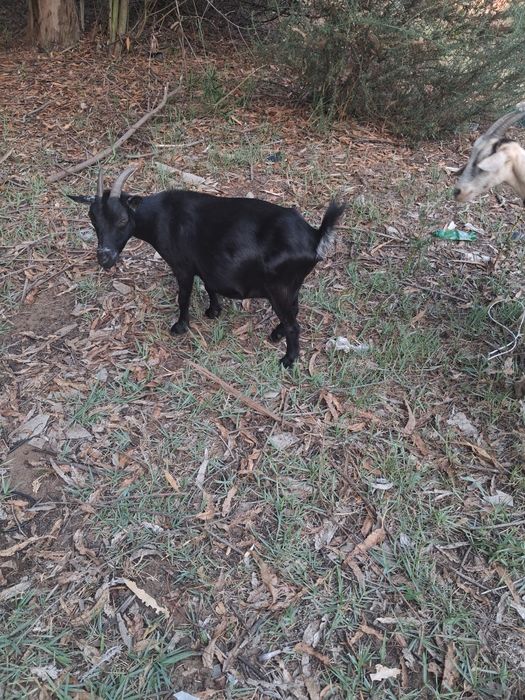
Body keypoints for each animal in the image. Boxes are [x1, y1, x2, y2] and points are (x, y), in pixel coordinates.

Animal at [69, 168, 345, 367]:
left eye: (123, 219)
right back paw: (277, 335)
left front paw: (180, 327)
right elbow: (210, 285)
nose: (105, 258)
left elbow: (183, 297)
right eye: (93, 219)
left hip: (280, 286)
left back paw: (287, 360)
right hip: (291, 285)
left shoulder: (182, 266)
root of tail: (315, 235)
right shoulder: (205, 264)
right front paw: (213, 311)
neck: (162, 216)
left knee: (293, 322)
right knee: (293, 311)